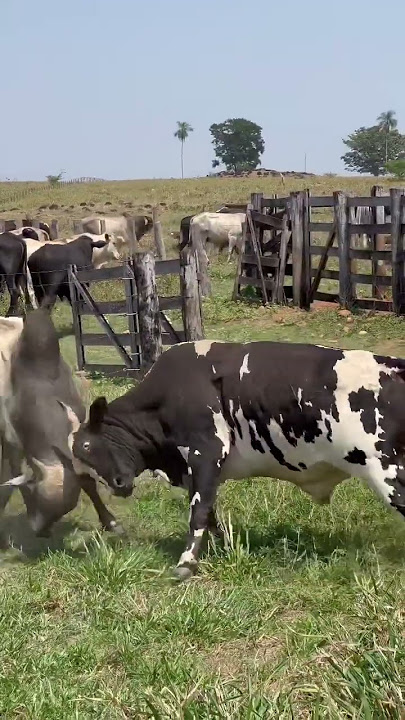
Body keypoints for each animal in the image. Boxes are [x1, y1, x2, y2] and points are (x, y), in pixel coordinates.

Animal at [71, 340, 404, 584]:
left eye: (87, 445)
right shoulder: (195, 470)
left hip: (386, 473)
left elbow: (198, 512)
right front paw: (223, 546)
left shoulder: (205, 452)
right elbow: (209, 513)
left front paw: (186, 563)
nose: (117, 485)